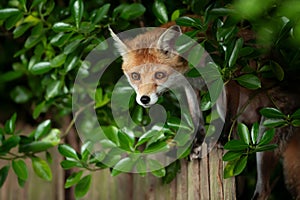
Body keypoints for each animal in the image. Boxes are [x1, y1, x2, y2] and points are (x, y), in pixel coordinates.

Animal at [109, 24, 300, 198]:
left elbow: (228, 115)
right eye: (135, 76)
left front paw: (222, 138)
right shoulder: (191, 88)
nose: (144, 99)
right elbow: (197, 118)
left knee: (264, 189)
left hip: (265, 137)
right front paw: (197, 143)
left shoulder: (227, 77)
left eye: (159, 75)